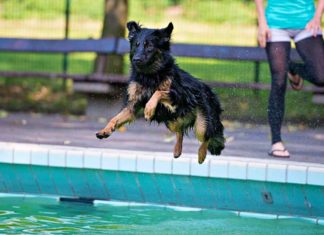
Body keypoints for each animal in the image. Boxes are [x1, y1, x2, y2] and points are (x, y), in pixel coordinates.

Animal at [95, 21, 224, 163]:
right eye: (136, 44)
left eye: (149, 46)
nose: (136, 59)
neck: (149, 75)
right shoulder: (132, 105)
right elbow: (115, 118)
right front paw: (105, 130)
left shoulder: (178, 96)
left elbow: (158, 93)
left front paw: (149, 109)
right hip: (171, 120)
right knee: (180, 131)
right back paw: (177, 150)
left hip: (201, 123)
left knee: (206, 137)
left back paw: (201, 155)